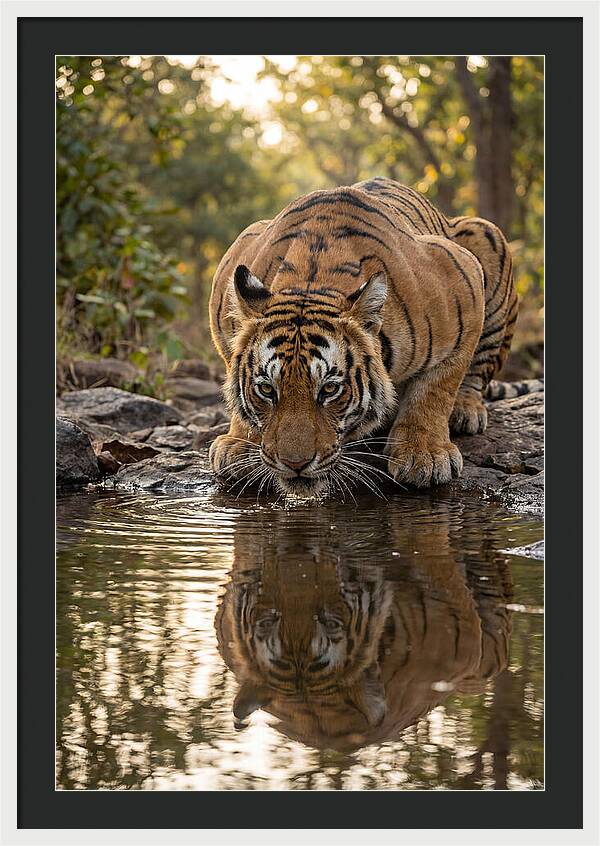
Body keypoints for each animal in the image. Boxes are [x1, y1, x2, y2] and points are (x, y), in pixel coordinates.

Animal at [208, 177, 523, 495]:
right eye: (267, 390)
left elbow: (436, 388)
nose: (295, 464)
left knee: (477, 371)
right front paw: (238, 443)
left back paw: (465, 411)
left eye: (330, 389)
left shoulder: (463, 280)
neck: (311, 280)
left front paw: (424, 455)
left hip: (486, 234)